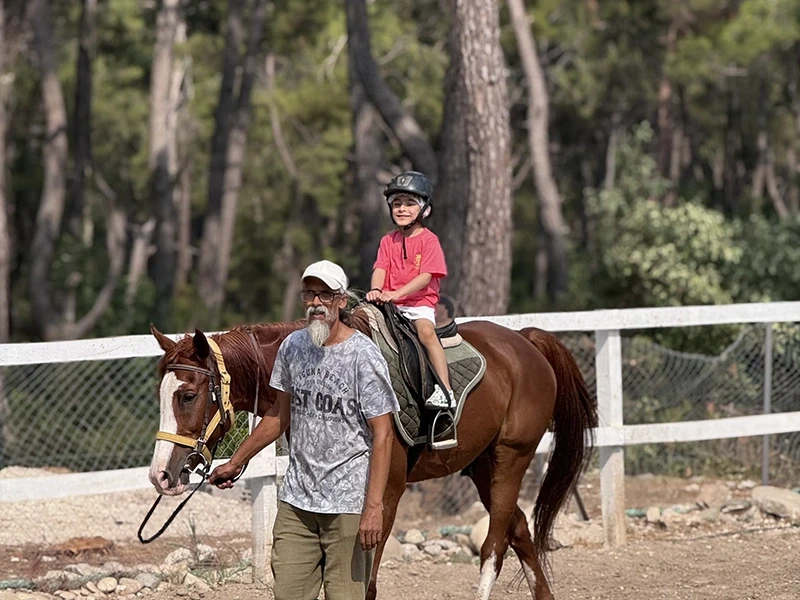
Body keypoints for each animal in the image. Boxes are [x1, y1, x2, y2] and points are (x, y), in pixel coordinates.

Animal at [147, 313, 597, 600]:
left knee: (493, 548)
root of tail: (526, 341)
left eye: (187, 395)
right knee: (519, 532)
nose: (161, 475)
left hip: (510, 458)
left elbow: (369, 585)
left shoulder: (384, 499)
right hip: (482, 466)